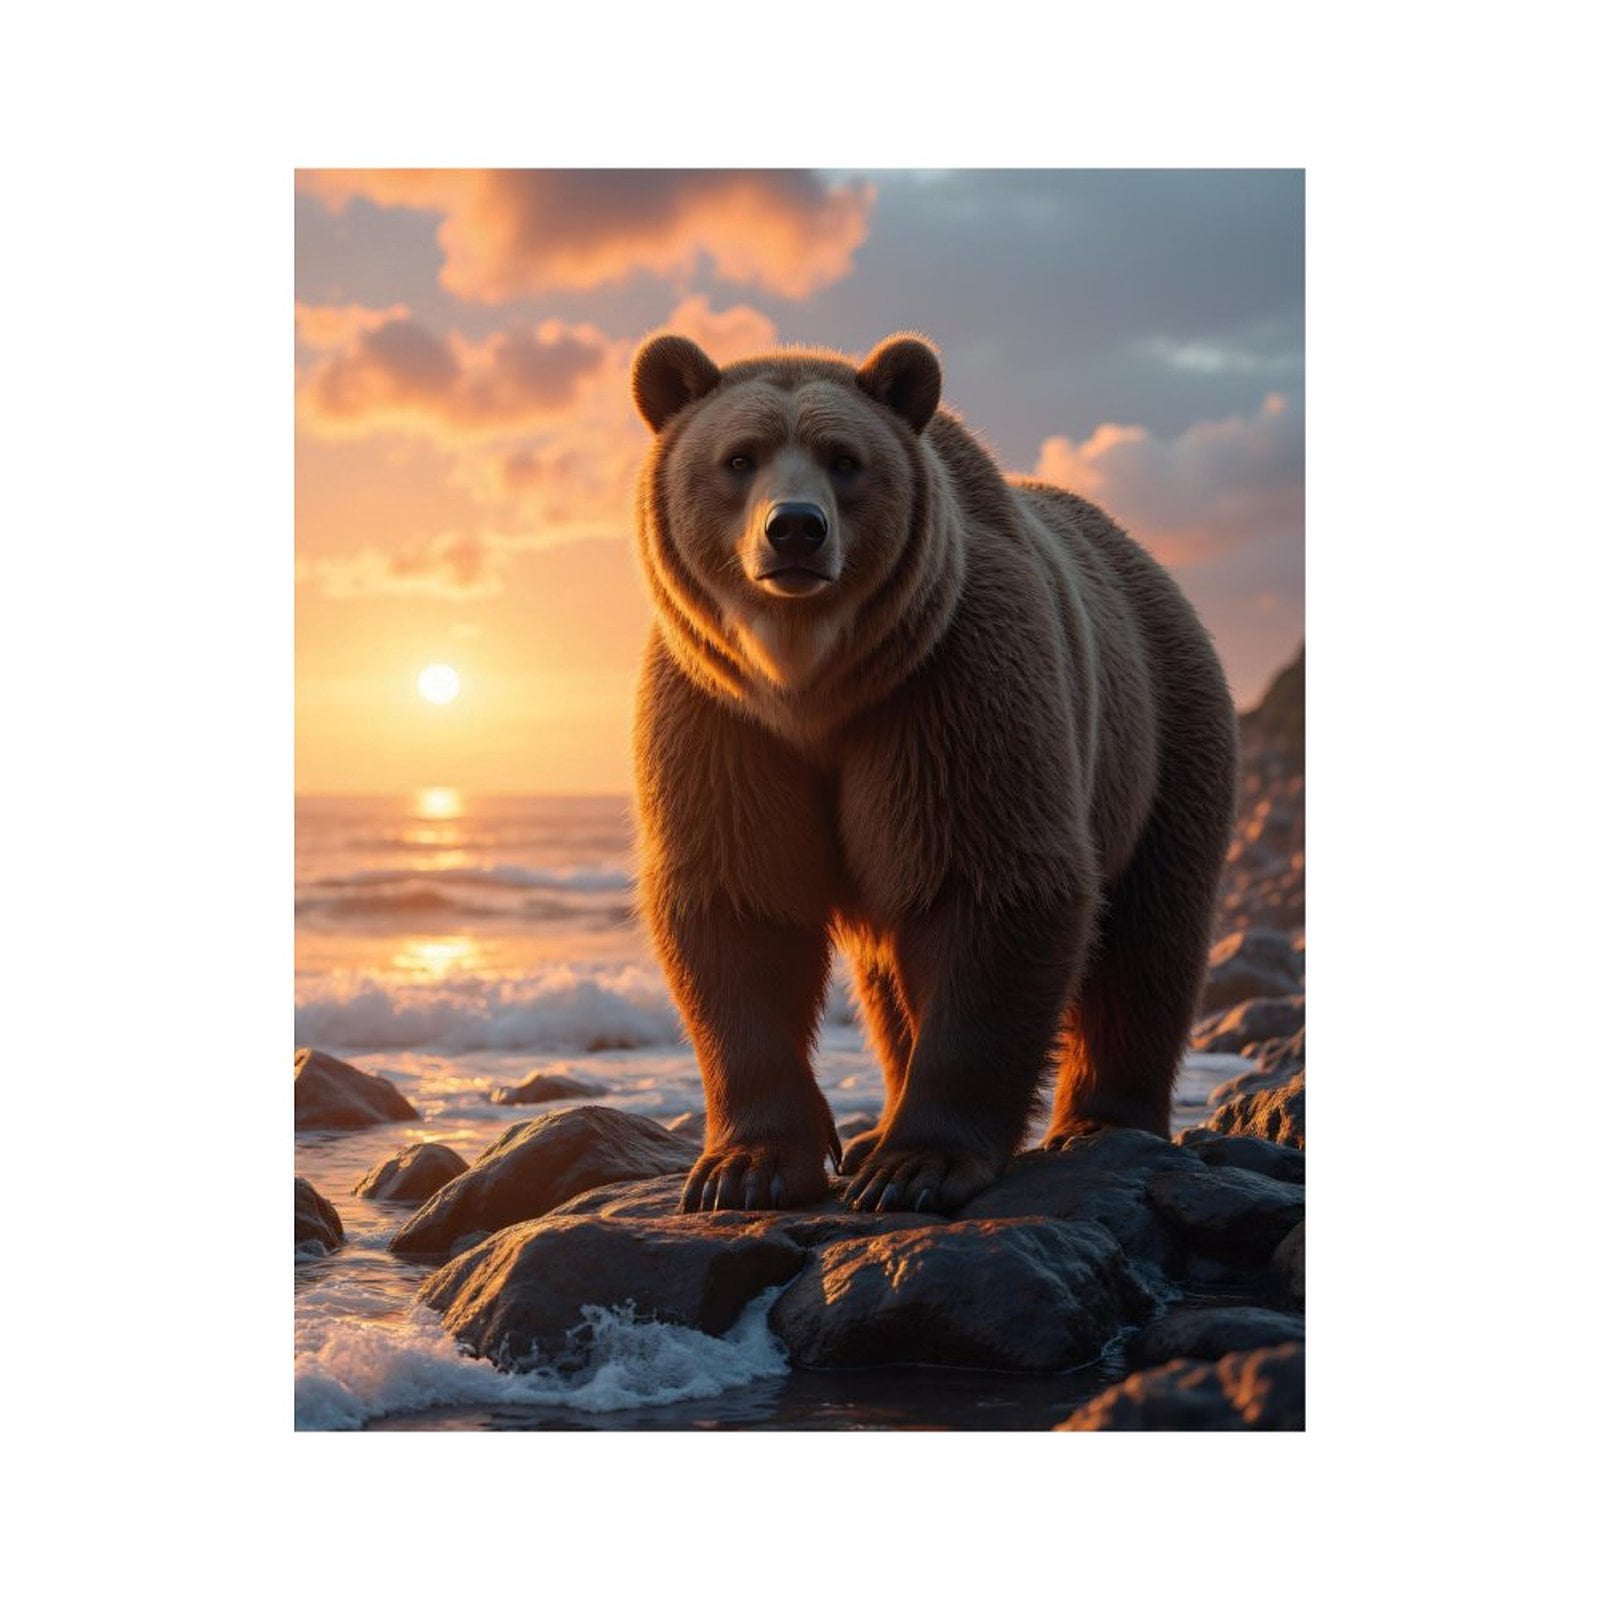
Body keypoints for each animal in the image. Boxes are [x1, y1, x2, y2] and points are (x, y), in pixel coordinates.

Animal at [629, 331, 1238, 1215]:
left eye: (844, 459)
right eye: (739, 457)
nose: (795, 529)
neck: (811, 683)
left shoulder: (950, 689)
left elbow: (990, 886)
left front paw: (917, 1167)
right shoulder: (720, 718)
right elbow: (739, 903)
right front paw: (746, 1168)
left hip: (1163, 738)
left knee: (1148, 937)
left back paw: (1099, 1120)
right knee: (889, 975)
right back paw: (877, 1125)